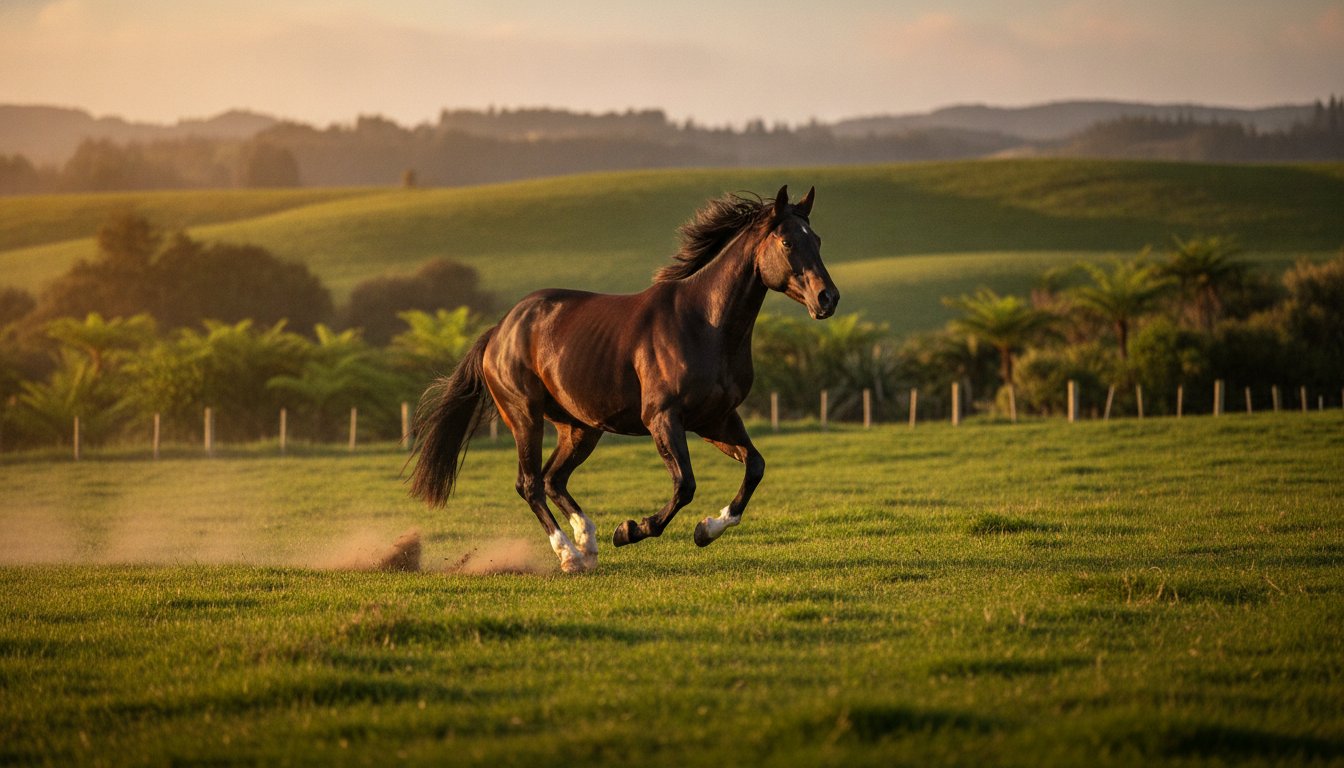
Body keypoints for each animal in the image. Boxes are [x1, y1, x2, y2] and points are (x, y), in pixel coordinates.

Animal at [408, 185, 838, 573]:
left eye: (816, 239)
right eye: (787, 241)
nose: (828, 298)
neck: (706, 324)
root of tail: (498, 331)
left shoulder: (716, 419)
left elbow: (755, 466)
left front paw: (707, 529)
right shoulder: (663, 418)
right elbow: (685, 484)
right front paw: (631, 529)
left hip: (580, 427)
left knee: (553, 479)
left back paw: (587, 543)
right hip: (525, 417)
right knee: (530, 483)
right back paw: (570, 554)